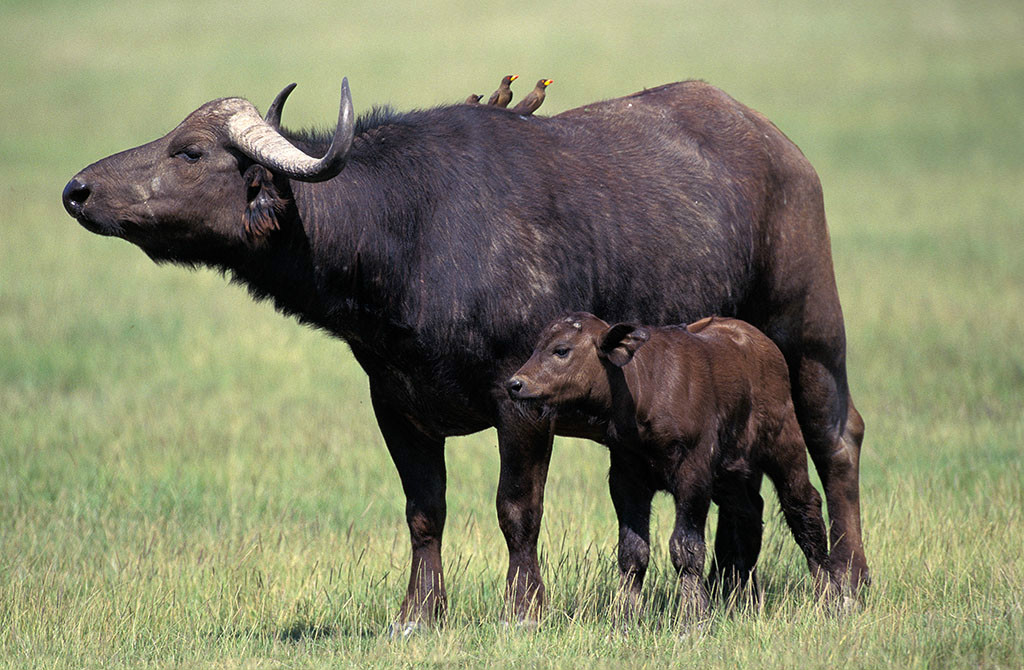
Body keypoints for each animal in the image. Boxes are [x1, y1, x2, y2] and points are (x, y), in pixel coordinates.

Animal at [507, 313, 835, 622]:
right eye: (535, 347)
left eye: (561, 350)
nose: (516, 384)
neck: (644, 391)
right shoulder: (626, 478)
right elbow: (633, 551)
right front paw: (626, 617)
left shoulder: (693, 475)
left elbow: (686, 548)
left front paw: (693, 618)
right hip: (728, 474)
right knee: (748, 513)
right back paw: (743, 600)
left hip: (785, 442)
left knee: (803, 507)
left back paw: (829, 597)